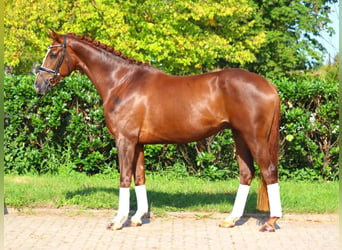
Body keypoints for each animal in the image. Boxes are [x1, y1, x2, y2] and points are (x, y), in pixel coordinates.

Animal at [34, 31, 284, 232]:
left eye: (53, 54)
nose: (39, 84)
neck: (122, 82)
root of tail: (269, 85)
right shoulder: (137, 143)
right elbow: (139, 176)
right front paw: (137, 217)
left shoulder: (125, 140)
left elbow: (124, 177)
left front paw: (118, 220)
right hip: (239, 137)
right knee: (246, 173)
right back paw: (230, 219)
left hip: (255, 138)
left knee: (269, 171)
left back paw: (271, 222)